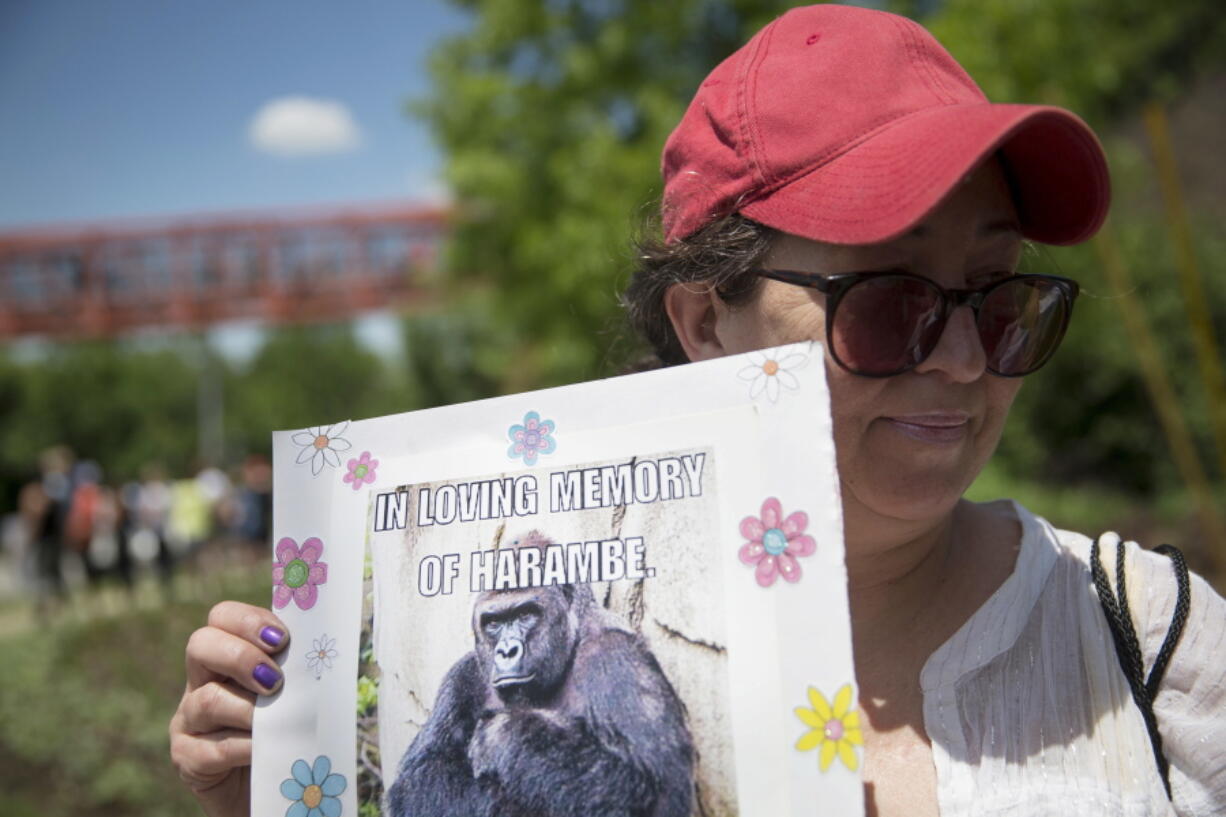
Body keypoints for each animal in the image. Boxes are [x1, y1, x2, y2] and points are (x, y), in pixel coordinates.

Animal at [384, 527, 691, 814]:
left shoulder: (614, 655)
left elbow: (651, 787)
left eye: (525, 614)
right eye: (493, 622)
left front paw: (502, 735)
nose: (507, 651)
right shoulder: (462, 676)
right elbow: (418, 782)